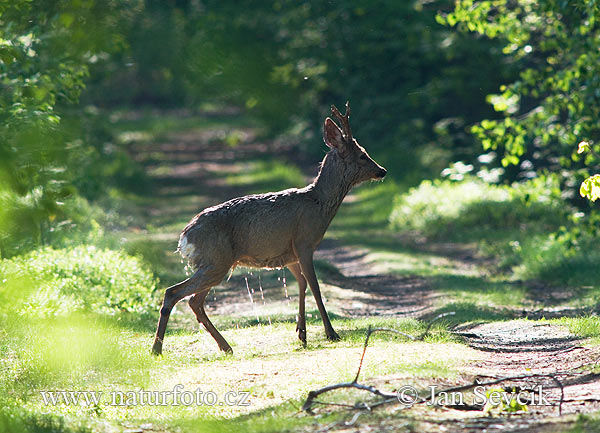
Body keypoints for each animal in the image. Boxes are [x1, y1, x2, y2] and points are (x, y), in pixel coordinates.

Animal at [152, 102, 386, 354]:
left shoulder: (289, 254)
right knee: (175, 293)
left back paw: (224, 347)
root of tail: (184, 237)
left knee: (193, 301)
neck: (319, 203)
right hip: (217, 260)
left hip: (214, 263)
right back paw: (158, 349)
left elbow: (302, 284)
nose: (382, 170)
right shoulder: (304, 242)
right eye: (362, 155)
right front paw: (330, 333)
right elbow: (315, 286)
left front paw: (302, 334)